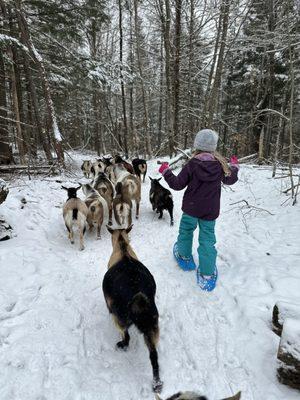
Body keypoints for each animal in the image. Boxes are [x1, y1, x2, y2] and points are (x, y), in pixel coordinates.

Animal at [103, 227, 164, 392]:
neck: (123, 247)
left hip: (120, 320)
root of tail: (139, 299)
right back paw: (156, 383)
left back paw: (122, 345)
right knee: (154, 355)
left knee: (127, 336)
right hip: (152, 326)